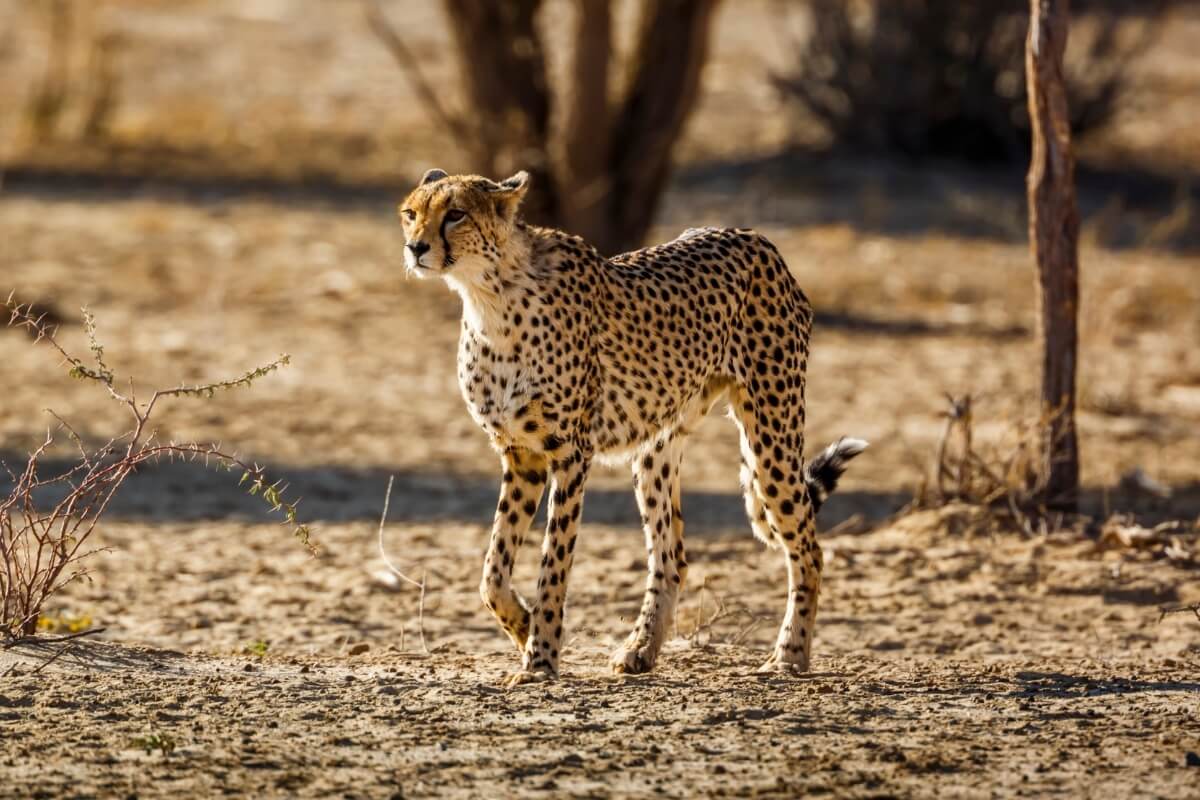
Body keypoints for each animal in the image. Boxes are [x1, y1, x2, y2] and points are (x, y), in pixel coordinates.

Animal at [398, 169, 868, 690]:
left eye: (456, 214)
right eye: (411, 213)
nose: (416, 247)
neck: (489, 296)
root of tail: (754, 236)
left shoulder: (569, 454)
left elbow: (553, 564)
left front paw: (541, 659)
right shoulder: (520, 454)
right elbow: (492, 573)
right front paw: (523, 630)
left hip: (771, 437)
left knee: (807, 548)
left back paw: (789, 655)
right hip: (654, 452)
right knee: (671, 555)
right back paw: (641, 649)